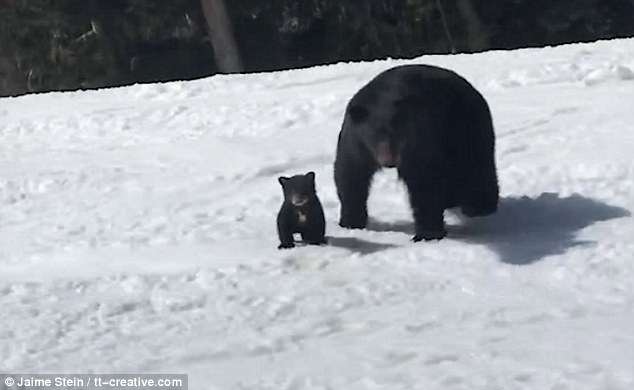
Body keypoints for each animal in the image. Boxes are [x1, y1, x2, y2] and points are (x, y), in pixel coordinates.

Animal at [334, 64, 496, 241]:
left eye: (398, 134)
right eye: (374, 135)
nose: (389, 161)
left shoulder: (420, 140)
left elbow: (423, 182)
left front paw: (427, 233)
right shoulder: (356, 142)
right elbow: (351, 175)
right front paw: (350, 222)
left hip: (465, 126)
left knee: (476, 165)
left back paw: (479, 206)